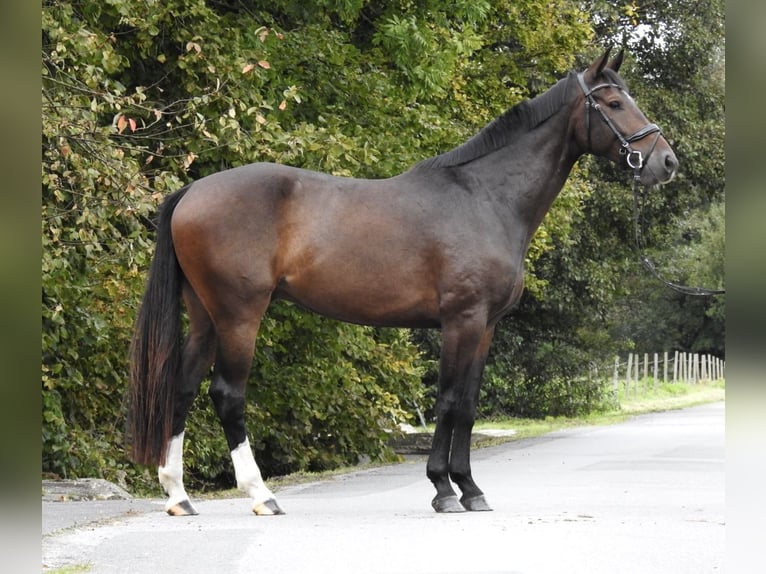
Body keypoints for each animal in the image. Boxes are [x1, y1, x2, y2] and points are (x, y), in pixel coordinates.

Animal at [130, 49, 680, 516]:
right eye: (614, 103)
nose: (666, 162)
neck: (485, 198)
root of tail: (193, 191)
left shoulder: (485, 327)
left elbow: (469, 405)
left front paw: (471, 489)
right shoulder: (461, 320)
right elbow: (449, 401)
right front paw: (444, 489)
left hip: (205, 316)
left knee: (182, 387)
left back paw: (178, 495)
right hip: (239, 313)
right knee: (227, 393)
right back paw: (261, 495)